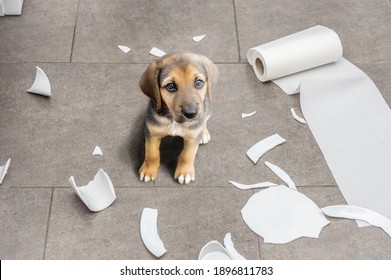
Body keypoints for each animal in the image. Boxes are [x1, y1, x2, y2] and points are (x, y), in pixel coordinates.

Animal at [139, 52, 219, 185]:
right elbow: (152, 153)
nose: (191, 114)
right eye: (171, 86)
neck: (173, 120)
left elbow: (187, 155)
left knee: (204, 120)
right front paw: (148, 170)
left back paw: (203, 133)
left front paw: (185, 173)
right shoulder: (153, 132)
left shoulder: (192, 138)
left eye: (198, 82)